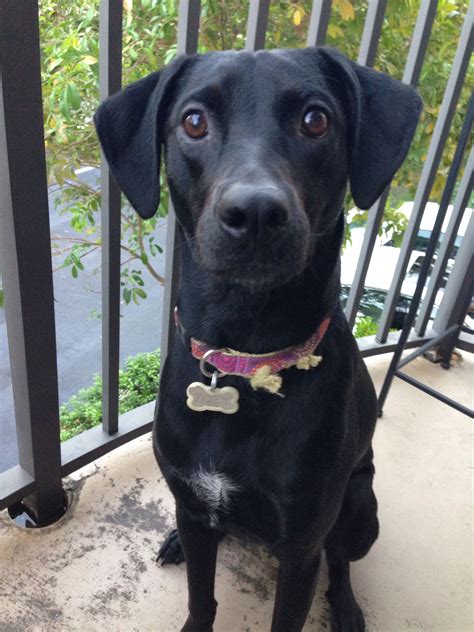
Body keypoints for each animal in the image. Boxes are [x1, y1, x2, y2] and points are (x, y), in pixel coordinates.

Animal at [94, 47, 420, 628]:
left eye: (316, 120)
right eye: (193, 121)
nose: (255, 214)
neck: (246, 355)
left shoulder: (301, 548)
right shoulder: (195, 501)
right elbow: (202, 598)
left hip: (361, 512)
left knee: (342, 561)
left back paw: (347, 607)